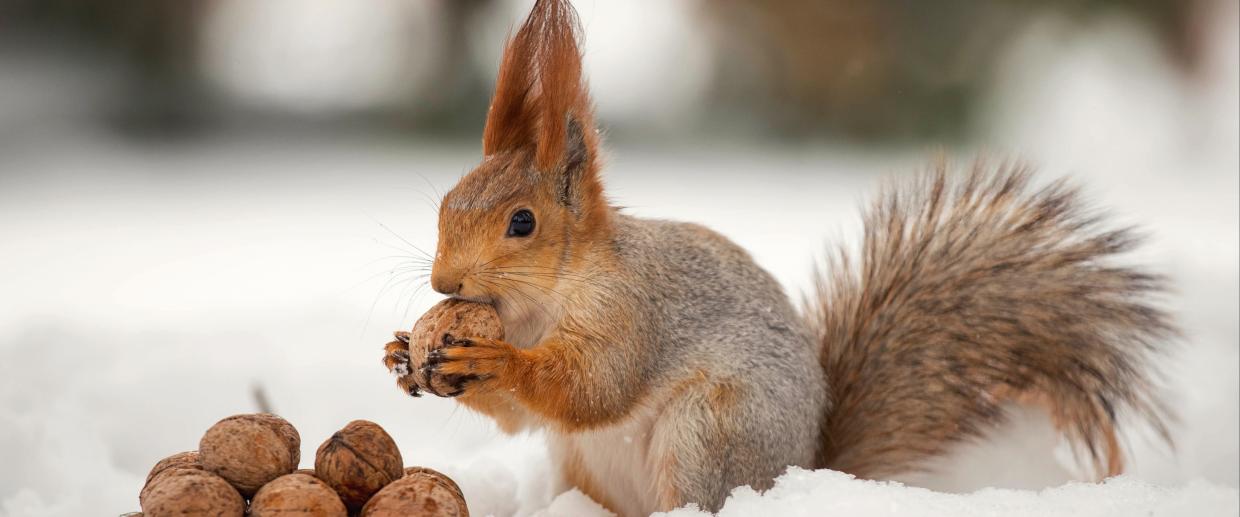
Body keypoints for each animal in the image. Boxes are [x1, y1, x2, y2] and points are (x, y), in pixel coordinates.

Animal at [376, 2, 1170, 513]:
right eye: (447, 201)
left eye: (523, 222)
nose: (444, 280)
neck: (536, 305)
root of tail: (800, 471)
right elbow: (522, 418)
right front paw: (400, 350)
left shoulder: (634, 312)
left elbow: (591, 387)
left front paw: (496, 359)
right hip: (584, 462)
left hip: (709, 432)